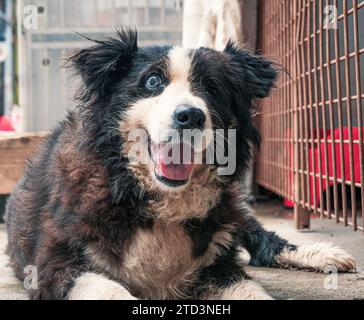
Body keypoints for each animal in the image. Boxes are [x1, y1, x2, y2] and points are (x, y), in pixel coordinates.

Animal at [5, 28, 356, 300]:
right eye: (152, 81)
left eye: (213, 87)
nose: (190, 116)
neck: (155, 199)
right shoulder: (55, 262)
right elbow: (108, 288)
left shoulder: (217, 263)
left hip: (231, 208)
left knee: (261, 237)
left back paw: (326, 254)